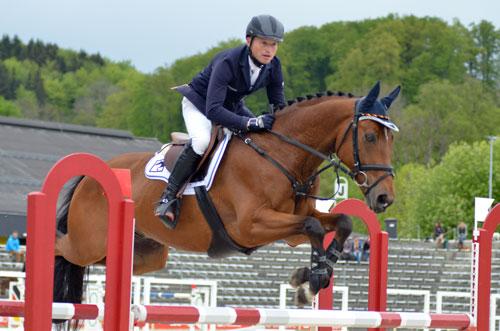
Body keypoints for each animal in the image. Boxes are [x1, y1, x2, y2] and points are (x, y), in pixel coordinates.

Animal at [52, 80, 400, 308]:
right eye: (369, 137)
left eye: (390, 140)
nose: (385, 198)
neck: (283, 155)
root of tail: (90, 175)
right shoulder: (250, 226)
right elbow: (314, 227)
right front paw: (310, 280)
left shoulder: (292, 227)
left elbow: (340, 223)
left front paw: (314, 275)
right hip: (87, 242)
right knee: (60, 248)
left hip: (144, 253)